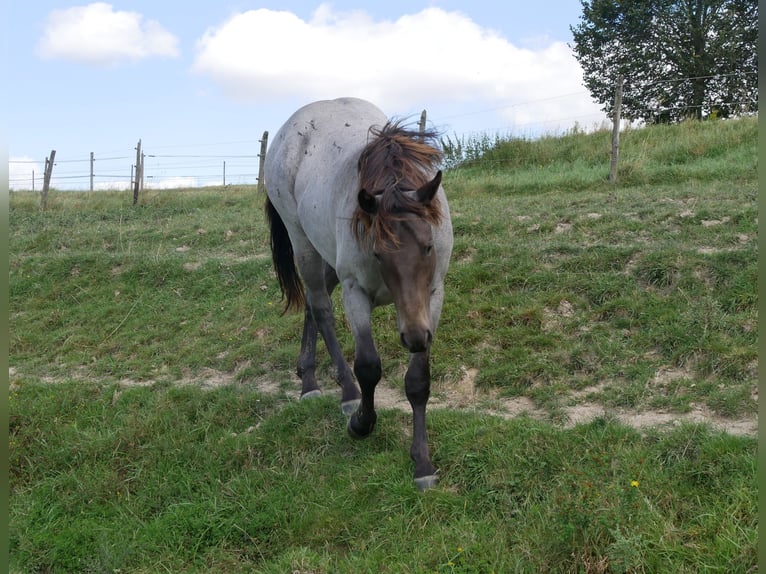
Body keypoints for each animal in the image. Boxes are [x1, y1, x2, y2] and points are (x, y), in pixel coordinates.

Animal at [266, 98, 452, 490]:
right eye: (379, 254)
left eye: (428, 246)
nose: (413, 337)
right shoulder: (355, 291)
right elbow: (368, 366)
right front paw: (361, 423)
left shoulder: (432, 297)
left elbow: (418, 381)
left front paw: (423, 464)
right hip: (304, 246)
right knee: (320, 308)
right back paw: (340, 392)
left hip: (327, 258)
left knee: (312, 304)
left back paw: (307, 376)